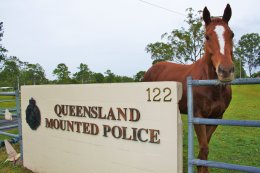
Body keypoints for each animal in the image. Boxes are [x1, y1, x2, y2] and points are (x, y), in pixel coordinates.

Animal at [143, 4, 235, 173]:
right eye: (207, 36)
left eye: (231, 34)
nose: (225, 71)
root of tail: (152, 69)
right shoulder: (198, 116)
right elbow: (204, 149)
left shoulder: (216, 118)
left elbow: (204, 151)